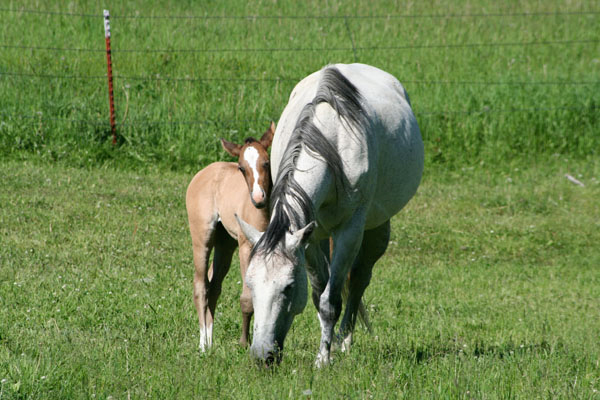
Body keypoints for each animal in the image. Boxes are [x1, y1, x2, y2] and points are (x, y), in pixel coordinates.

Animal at [186, 121, 276, 350]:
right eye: (242, 168)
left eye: (266, 162)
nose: (258, 198)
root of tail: (205, 172)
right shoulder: (246, 248)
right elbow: (247, 298)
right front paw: (245, 343)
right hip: (202, 238)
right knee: (200, 286)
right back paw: (203, 344)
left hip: (225, 243)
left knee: (213, 286)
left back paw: (210, 340)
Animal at [234, 62, 422, 366]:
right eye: (250, 283)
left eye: (288, 287)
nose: (262, 355)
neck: (329, 140)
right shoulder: (310, 235)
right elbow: (318, 292)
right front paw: (326, 348)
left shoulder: (349, 231)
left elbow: (331, 300)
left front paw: (324, 359)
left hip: (377, 228)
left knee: (358, 281)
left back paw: (344, 341)